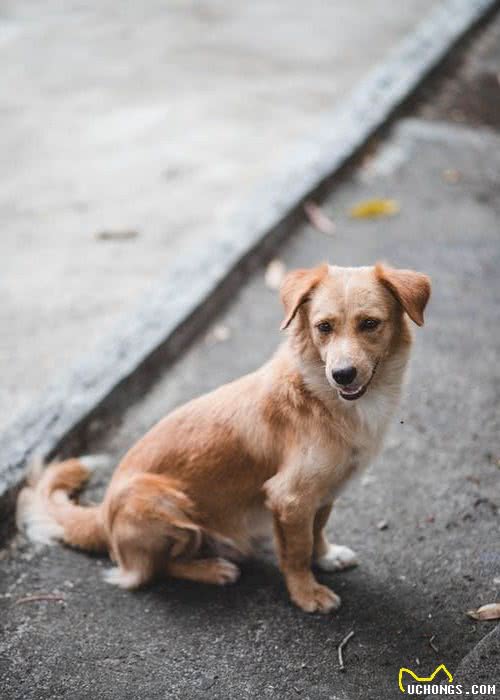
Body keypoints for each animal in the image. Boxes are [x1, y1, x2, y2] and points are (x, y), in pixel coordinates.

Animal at [16, 262, 430, 612]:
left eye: (370, 323)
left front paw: (325, 556)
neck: (320, 395)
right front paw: (306, 593)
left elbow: (317, 530)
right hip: (165, 504)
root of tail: (102, 514)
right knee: (154, 569)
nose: (342, 374)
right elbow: (296, 552)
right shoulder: (290, 497)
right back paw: (211, 568)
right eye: (323, 327)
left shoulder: (324, 491)